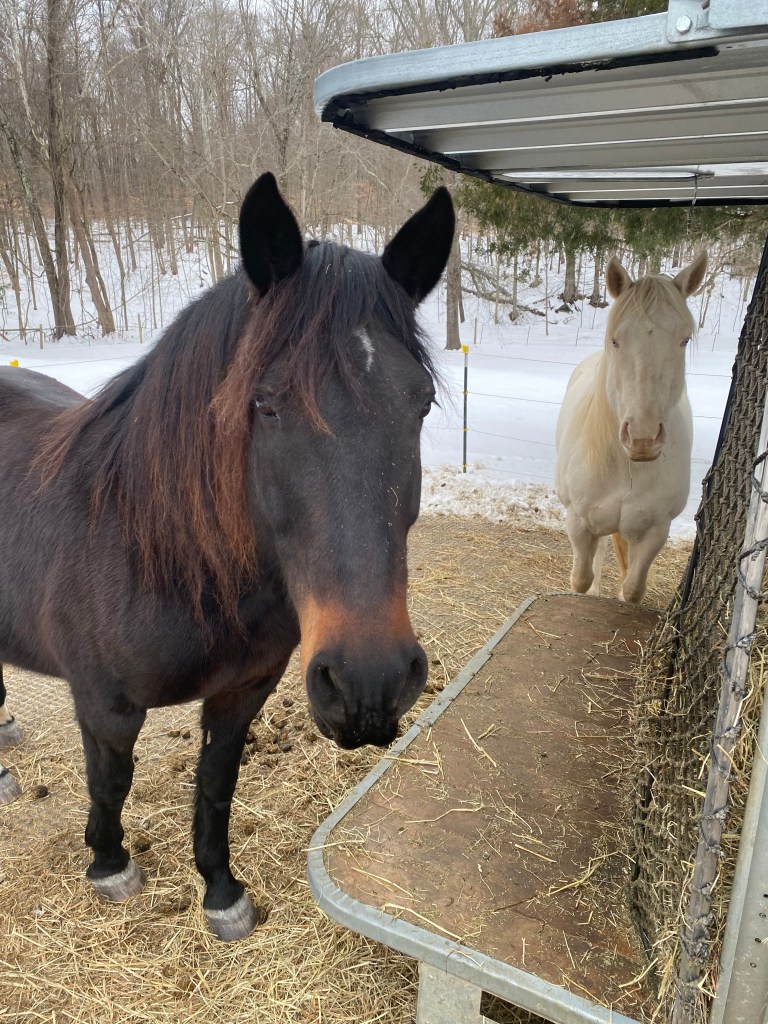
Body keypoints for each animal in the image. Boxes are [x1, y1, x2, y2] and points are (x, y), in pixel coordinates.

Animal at [0, 172, 455, 940]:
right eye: (267, 404)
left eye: (420, 403)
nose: (371, 683)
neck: (156, 551)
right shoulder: (104, 705)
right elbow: (110, 782)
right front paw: (109, 865)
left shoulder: (242, 693)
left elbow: (216, 785)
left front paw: (220, 891)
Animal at [555, 252, 707, 605]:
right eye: (616, 340)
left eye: (684, 339)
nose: (643, 438)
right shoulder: (579, 522)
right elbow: (580, 579)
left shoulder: (655, 531)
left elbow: (634, 589)